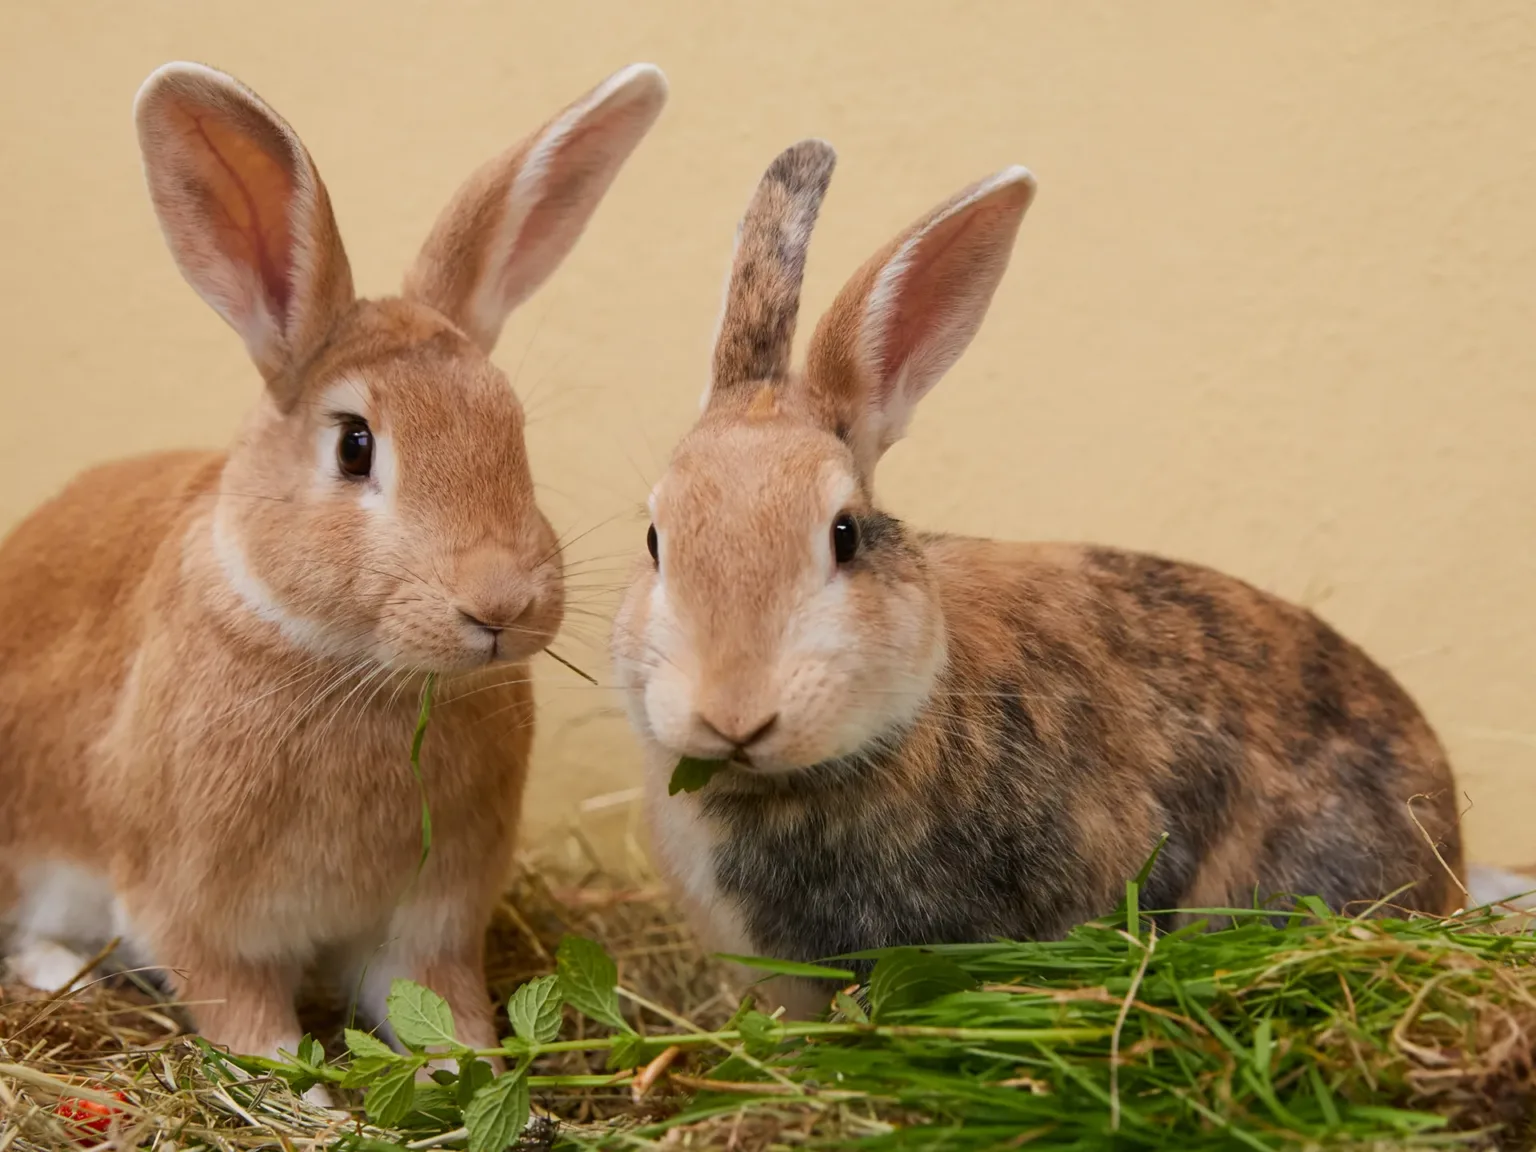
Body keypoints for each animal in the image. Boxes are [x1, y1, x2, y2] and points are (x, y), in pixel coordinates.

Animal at [0, 59, 666, 1062]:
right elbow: (255, 1036)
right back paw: (59, 975)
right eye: (356, 446)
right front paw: (312, 1084)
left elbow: (446, 1024)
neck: (356, 669)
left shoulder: (423, 927)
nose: (501, 604)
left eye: (512, 428)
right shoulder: (200, 922)